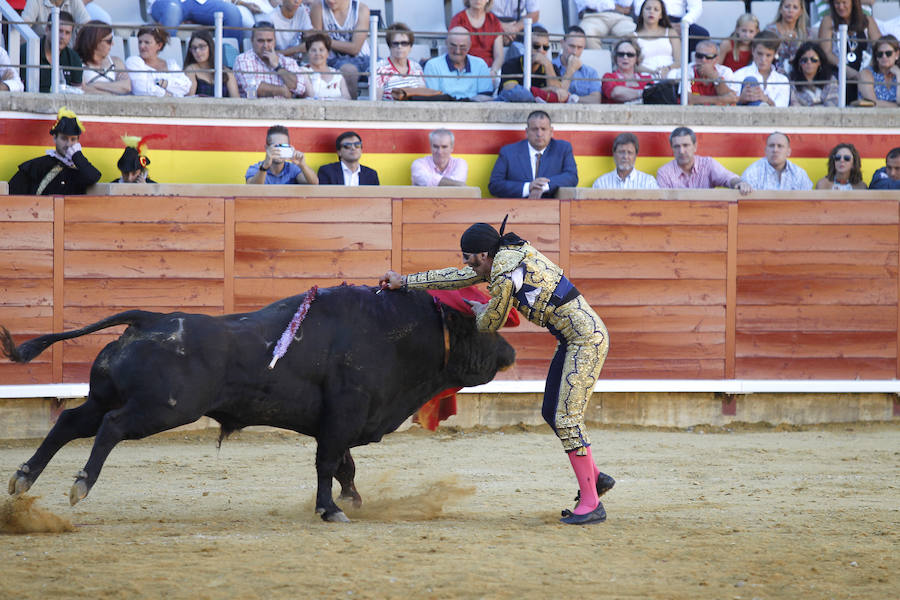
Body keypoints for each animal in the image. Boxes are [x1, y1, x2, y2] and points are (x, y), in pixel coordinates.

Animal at [1, 284, 512, 520]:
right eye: (478, 328)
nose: (509, 353)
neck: (395, 334)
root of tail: (151, 318)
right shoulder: (343, 414)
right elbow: (328, 463)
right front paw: (330, 509)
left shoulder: (341, 422)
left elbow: (344, 466)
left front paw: (352, 500)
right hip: (164, 408)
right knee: (110, 427)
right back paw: (80, 485)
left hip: (108, 394)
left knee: (70, 421)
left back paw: (23, 479)